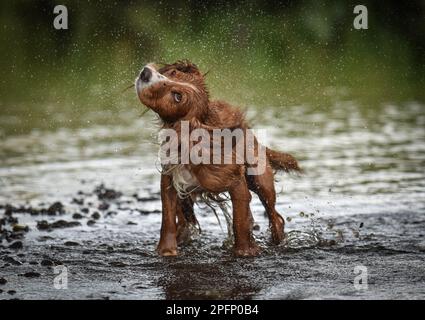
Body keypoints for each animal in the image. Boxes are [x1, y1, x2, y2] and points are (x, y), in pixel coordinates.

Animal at [135, 59, 298, 255]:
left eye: (177, 97)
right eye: (172, 73)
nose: (145, 73)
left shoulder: (236, 181)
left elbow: (239, 223)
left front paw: (244, 251)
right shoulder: (169, 178)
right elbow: (167, 219)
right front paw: (166, 250)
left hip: (259, 180)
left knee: (275, 217)